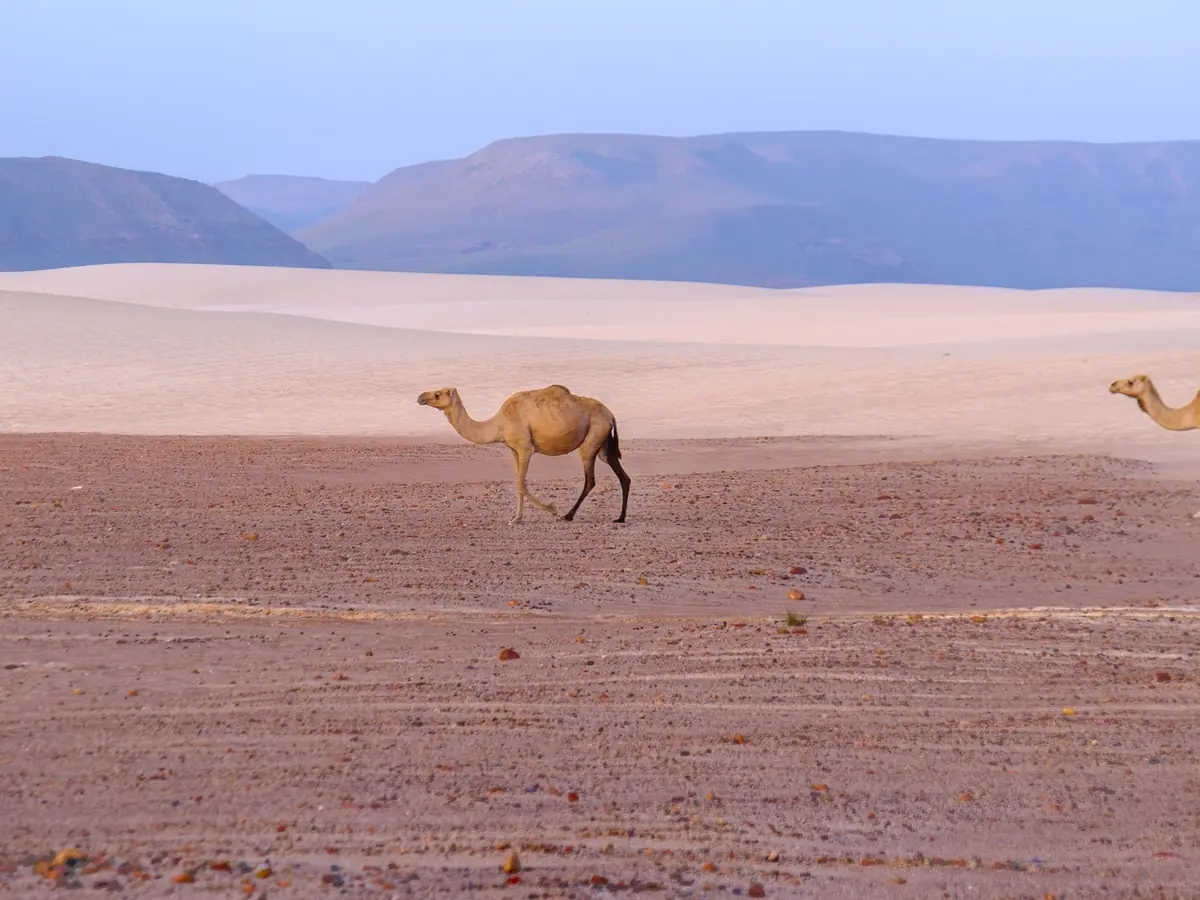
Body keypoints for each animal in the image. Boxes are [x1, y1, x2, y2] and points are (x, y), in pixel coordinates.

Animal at [417, 384, 631, 525]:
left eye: (437, 394)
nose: (420, 397)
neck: (499, 424)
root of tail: (611, 415)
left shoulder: (525, 448)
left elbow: (521, 484)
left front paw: (552, 509)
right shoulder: (513, 449)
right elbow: (519, 483)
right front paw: (517, 518)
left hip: (592, 438)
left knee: (590, 479)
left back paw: (568, 515)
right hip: (603, 443)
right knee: (622, 475)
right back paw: (620, 518)